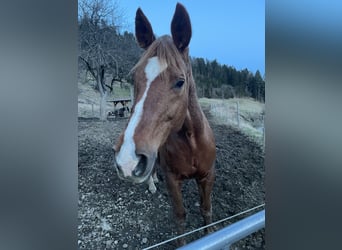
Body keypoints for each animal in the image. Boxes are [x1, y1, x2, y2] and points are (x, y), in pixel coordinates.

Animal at [115, 2, 216, 244]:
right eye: (134, 78)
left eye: (180, 82)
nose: (127, 160)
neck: (192, 143)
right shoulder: (172, 180)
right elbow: (179, 216)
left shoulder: (208, 176)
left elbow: (206, 210)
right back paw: (151, 184)